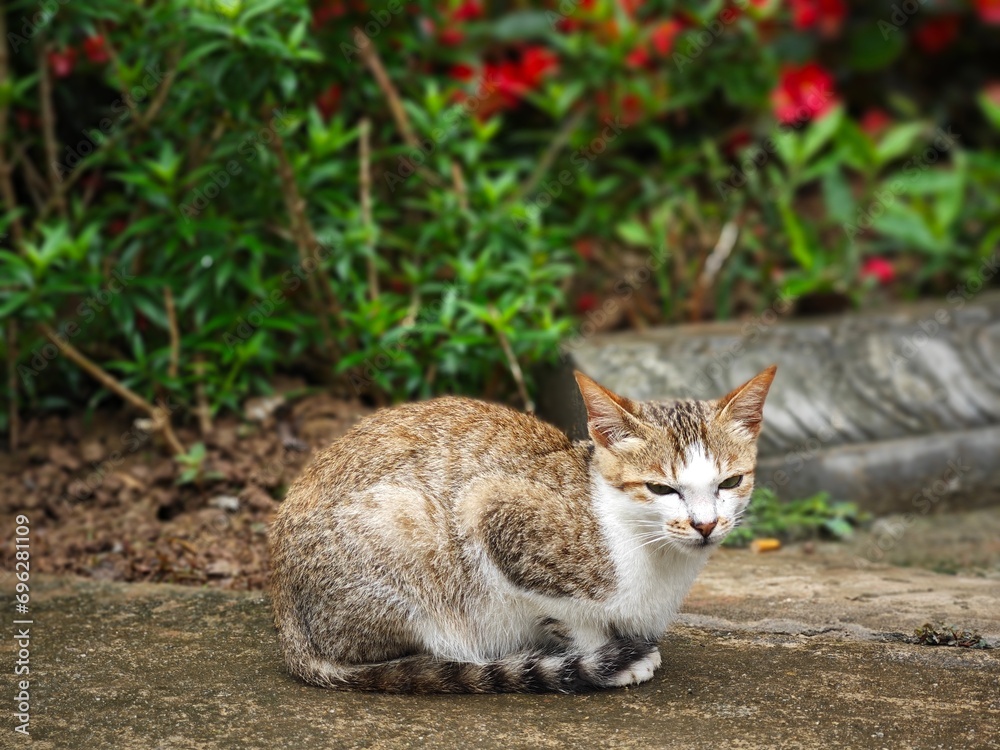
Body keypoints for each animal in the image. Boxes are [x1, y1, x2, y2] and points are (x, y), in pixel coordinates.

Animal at [270, 368, 776, 696]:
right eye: (661, 488)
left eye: (730, 482)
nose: (705, 524)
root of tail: (287, 625)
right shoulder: (489, 508)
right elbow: (566, 615)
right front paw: (605, 656)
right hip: (402, 520)